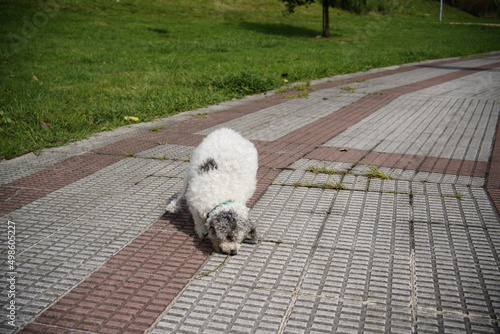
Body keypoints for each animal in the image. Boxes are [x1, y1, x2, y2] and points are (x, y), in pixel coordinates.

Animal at [166, 128, 260, 256]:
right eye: (229, 237)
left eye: (242, 239)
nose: (233, 252)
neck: (223, 198)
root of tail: (228, 130)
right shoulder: (193, 202)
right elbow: (198, 220)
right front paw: (202, 231)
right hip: (191, 170)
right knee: (182, 191)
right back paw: (173, 206)